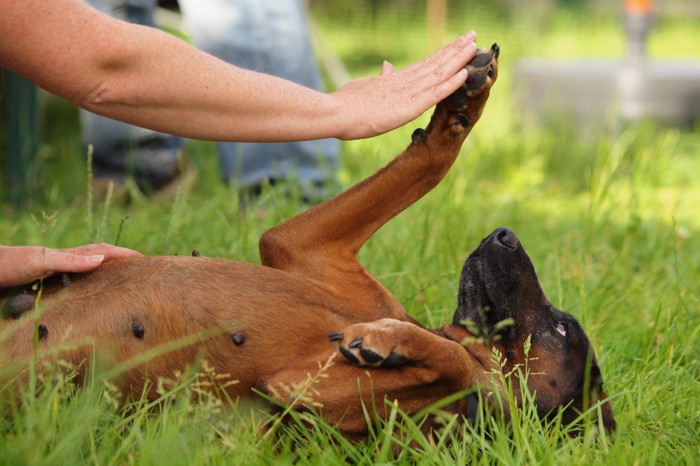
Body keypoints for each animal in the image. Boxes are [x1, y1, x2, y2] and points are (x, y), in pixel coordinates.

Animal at [0, 42, 616, 436]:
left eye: (561, 329)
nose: (505, 234)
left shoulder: (304, 395)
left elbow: (460, 367)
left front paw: (390, 342)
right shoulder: (300, 246)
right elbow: (430, 162)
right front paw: (458, 107)